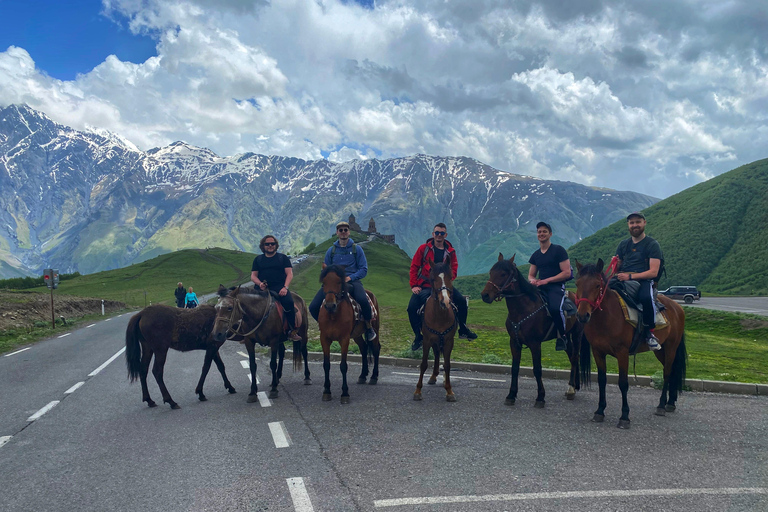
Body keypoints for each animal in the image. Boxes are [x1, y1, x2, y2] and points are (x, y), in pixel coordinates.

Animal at [316, 264, 380, 404]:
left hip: (375, 328)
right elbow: (326, 365)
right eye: (324, 283)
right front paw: (327, 391)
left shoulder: (344, 339)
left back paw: (373, 377)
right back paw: (363, 375)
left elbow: (343, 366)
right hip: (356, 335)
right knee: (363, 348)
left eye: (339, 282)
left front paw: (345, 393)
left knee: (376, 348)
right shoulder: (324, 339)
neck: (333, 315)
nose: (330, 305)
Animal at [414, 262, 456, 402]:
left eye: (450, 277)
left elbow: (447, 365)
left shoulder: (449, 341)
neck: (440, 316)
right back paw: (433, 377)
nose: (445, 301)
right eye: (432, 279)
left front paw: (449, 391)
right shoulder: (427, 340)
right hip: (434, 341)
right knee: (437, 353)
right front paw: (418, 391)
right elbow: (423, 364)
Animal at [480, 255, 588, 408]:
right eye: (491, 272)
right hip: (565, 337)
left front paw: (540, 397)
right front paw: (511, 395)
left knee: (574, 357)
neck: (523, 310)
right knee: (571, 354)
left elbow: (537, 369)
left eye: (503, 274)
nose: (485, 295)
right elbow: (514, 368)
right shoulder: (514, 343)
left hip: (577, 333)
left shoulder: (535, 344)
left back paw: (571, 389)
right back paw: (574, 385)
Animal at [572, 258, 688, 430]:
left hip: (671, 348)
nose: (582, 315)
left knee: (667, 372)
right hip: (660, 351)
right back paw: (671, 403)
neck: (606, 317)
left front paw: (624, 416)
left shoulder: (622, 353)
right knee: (673, 370)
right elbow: (601, 380)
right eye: (578, 283)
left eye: (597, 285)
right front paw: (600, 411)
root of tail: (677, 307)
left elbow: (623, 383)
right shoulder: (598, 352)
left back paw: (661, 405)